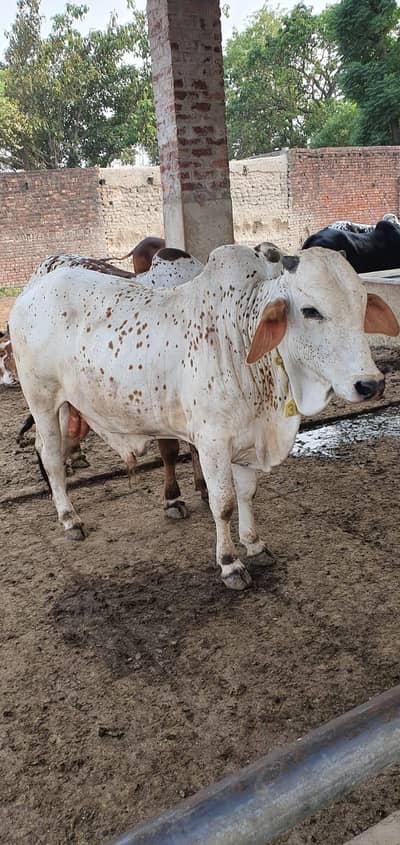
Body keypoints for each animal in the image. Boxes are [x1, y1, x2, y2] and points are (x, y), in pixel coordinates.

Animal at [9, 244, 399, 590]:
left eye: (362, 304)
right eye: (310, 310)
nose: (370, 384)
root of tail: (33, 290)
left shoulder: (247, 441)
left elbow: (247, 494)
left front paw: (254, 544)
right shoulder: (213, 443)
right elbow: (223, 503)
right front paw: (230, 563)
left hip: (67, 406)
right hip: (42, 400)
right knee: (51, 456)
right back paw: (69, 519)